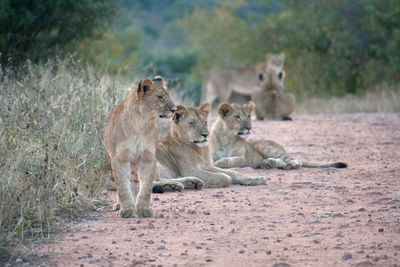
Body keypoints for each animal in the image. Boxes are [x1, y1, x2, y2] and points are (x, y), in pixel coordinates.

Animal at [104, 75, 176, 218]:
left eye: (168, 96)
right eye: (160, 97)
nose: (174, 109)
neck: (141, 123)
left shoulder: (148, 158)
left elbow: (146, 187)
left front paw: (143, 209)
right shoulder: (120, 159)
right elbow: (123, 187)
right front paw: (126, 210)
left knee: (134, 183)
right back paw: (119, 205)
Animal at [209, 101, 346, 171]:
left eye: (248, 116)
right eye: (237, 117)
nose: (249, 128)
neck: (227, 137)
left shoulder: (242, 157)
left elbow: (232, 160)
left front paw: (218, 163)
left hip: (263, 145)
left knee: (296, 160)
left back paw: (288, 165)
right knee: (273, 160)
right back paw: (270, 163)